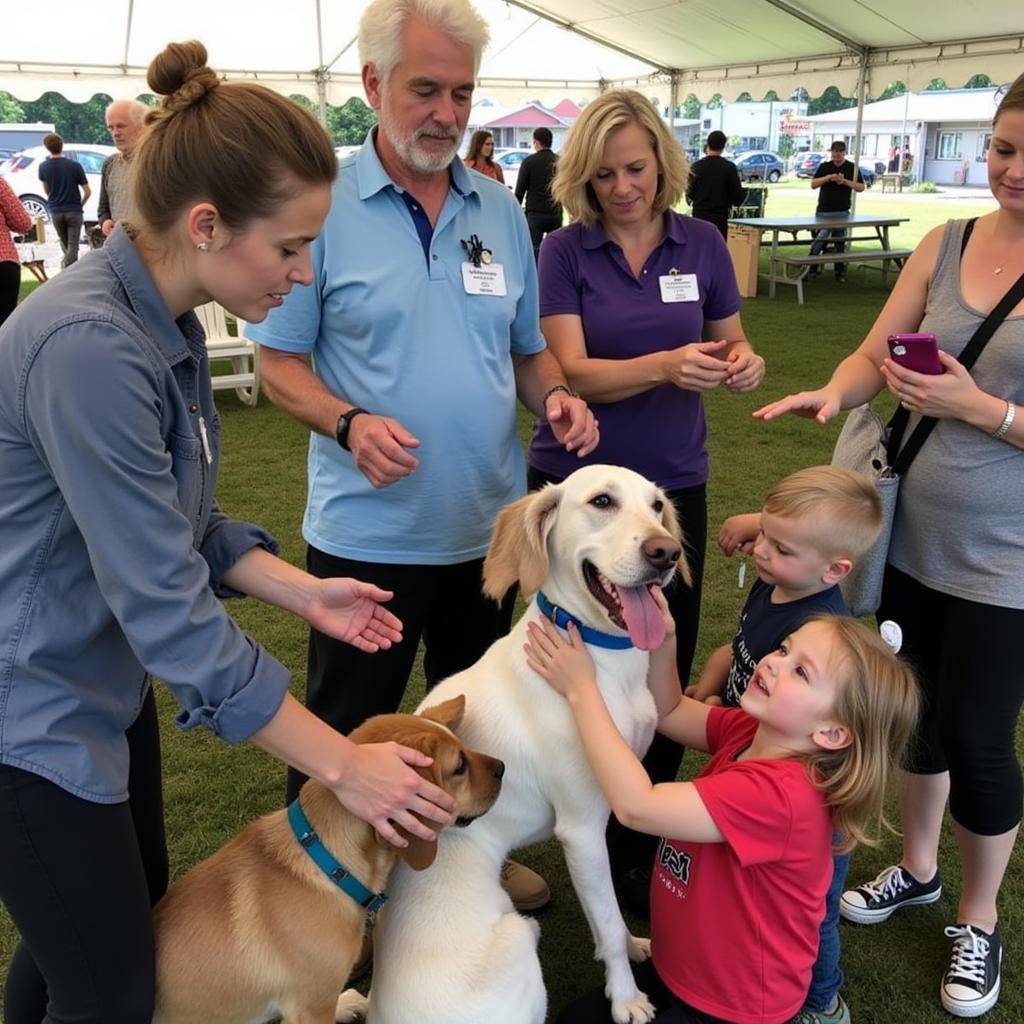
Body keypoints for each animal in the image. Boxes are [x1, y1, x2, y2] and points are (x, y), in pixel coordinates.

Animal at [342, 466, 688, 1024]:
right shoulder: (582, 827)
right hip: (520, 937)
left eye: (657, 505)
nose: (667, 552)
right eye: (602, 501)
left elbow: (610, 917)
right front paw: (627, 998)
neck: (600, 659)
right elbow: (608, 923)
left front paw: (635, 947)